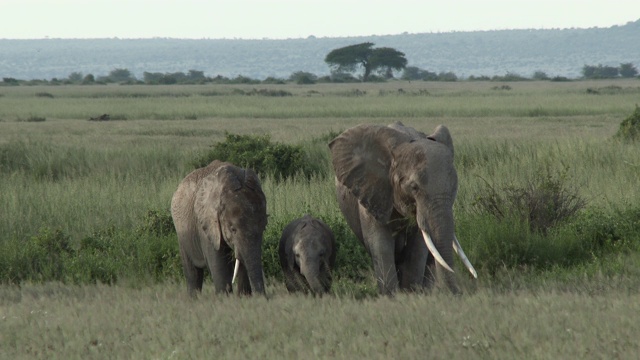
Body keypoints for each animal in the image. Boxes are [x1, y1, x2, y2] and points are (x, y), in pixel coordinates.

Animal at [170, 160, 268, 296]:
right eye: (233, 229)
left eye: (263, 228)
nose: (264, 298)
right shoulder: (207, 225)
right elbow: (218, 263)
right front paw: (224, 297)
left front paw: (244, 297)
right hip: (182, 234)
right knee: (193, 273)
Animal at [330, 122, 476, 294]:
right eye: (414, 187)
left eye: (454, 187)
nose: (457, 293)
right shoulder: (372, 190)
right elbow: (380, 243)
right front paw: (393, 296)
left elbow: (418, 247)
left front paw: (411, 293)